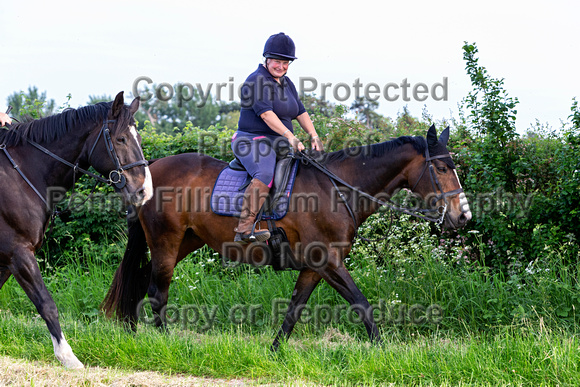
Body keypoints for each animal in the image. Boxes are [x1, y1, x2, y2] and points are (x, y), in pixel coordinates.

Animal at [0, 91, 153, 370]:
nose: (143, 191)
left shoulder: (7, 261)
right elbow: (47, 304)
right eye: (121, 139)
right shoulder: (19, 253)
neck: (23, 175)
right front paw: (68, 357)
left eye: (138, 138)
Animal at [101, 126, 472, 350]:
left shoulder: (315, 266)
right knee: (156, 290)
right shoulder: (328, 262)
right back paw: (167, 341)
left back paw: (134, 332)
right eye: (441, 169)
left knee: (143, 280)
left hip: (186, 241)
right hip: (166, 240)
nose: (463, 216)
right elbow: (361, 303)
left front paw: (275, 350)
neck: (338, 189)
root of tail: (151, 170)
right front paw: (381, 349)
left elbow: (294, 308)